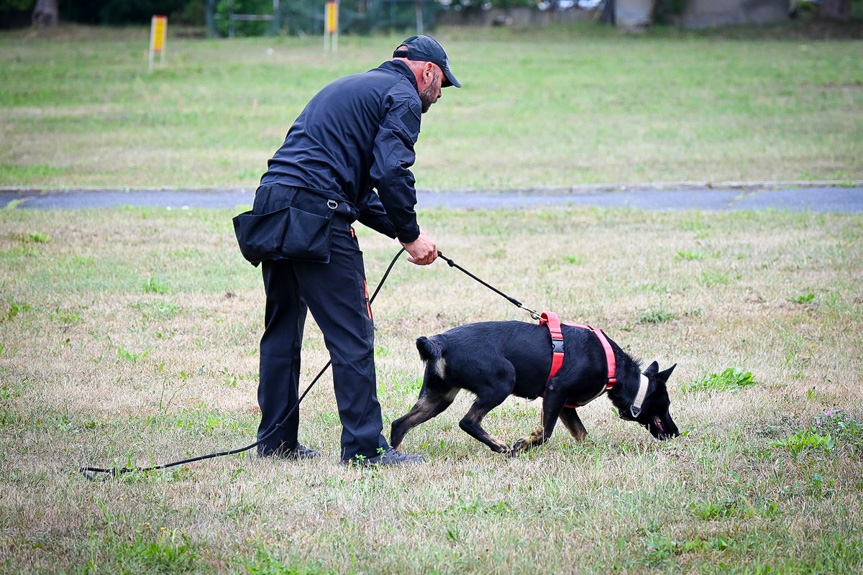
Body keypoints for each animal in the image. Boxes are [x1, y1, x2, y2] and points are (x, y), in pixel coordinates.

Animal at [392, 318, 680, 456]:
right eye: (665, 405)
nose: (676, 433)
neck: (614, 368)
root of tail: (437, 343)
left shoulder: (564, 405)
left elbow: (582, 434)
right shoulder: (555, 391)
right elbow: (546, 433)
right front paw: (523, 445)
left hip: (438, 397)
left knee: (399, 424)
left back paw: (391, 453)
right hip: (502, 381)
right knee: (468, 421)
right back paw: (500, 446)